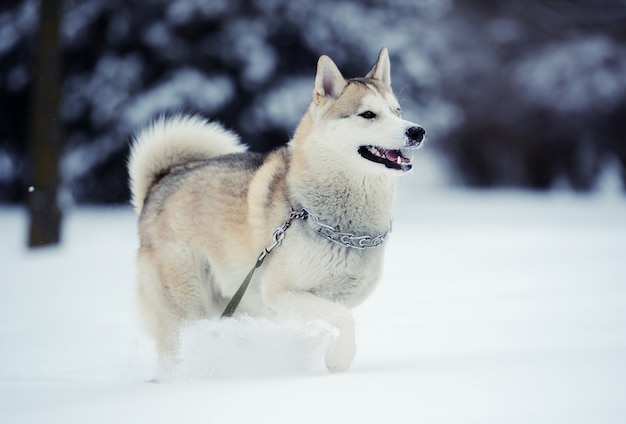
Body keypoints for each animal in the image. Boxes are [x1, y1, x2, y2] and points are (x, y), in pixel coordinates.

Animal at [130, 48, 426, 372]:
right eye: (368, 115)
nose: (417, 131)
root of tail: (160, 182)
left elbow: (326, 324)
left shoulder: (332, 297)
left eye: (397, 111)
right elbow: (342, 319)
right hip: (187, 304)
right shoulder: (280, 293)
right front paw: (338, 360)